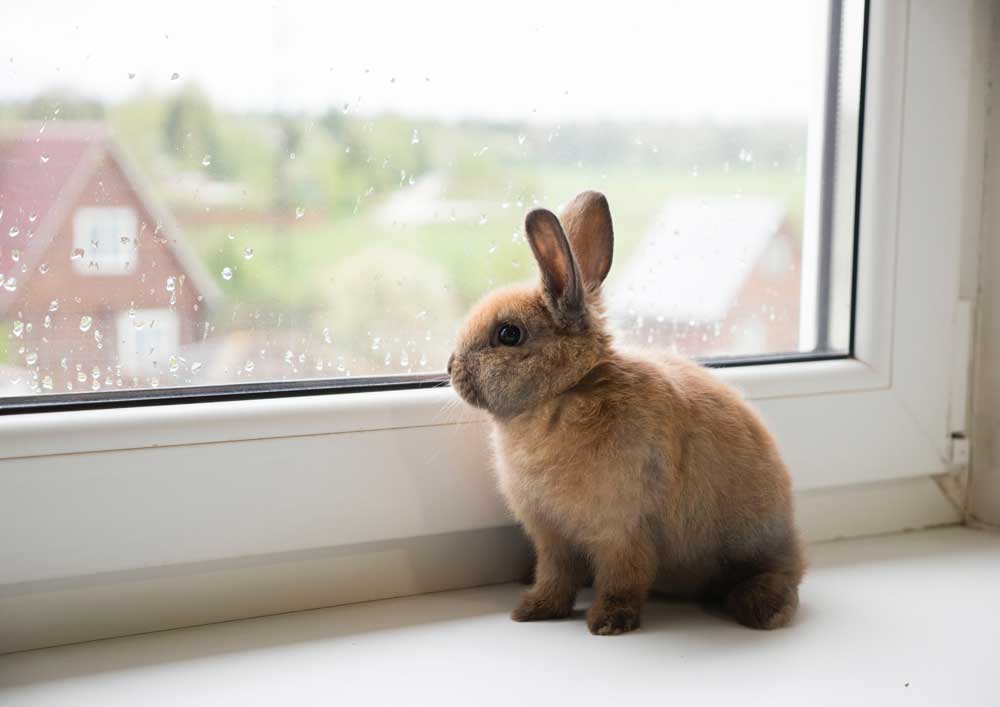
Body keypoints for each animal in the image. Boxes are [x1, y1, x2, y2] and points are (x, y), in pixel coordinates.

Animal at [450, 189, 808, 636]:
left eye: (509, 334)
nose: (450, 368)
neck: (566, 391)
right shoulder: (551, 537)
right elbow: (555, 576)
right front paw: (533, 610)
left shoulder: (622, 530)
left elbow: (624, 577)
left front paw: (608, 622)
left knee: (782, 575)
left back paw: (763, 608)